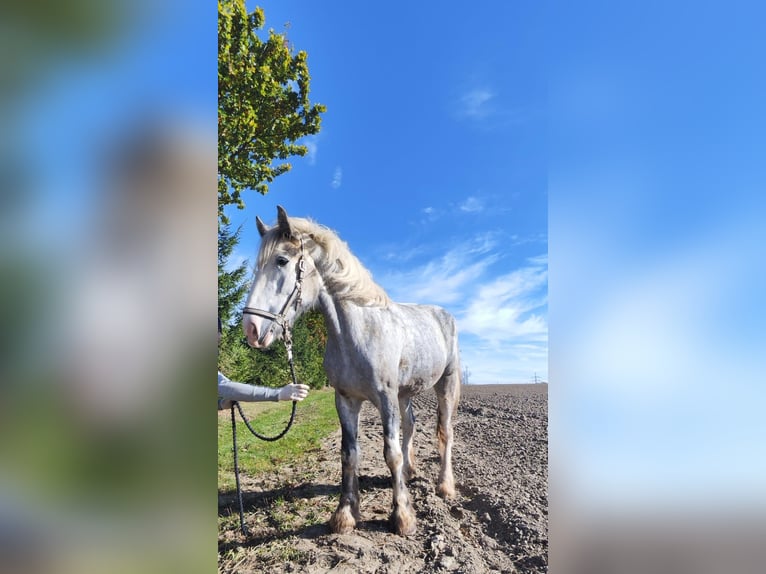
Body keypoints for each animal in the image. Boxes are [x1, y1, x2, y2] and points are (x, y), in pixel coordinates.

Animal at [242, 206, 461, 536]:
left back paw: (445, 487)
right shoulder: (345, 400)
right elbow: (349, 454)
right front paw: (345, 515)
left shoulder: (385, 399)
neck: (358, 331)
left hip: (445, 384)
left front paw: (402, 516)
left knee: (444, 431)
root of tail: (444, 314)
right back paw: (410, 474)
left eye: (281, 260)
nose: (251, 329)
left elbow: (390, 453)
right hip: (406, 393)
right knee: (410, 425)